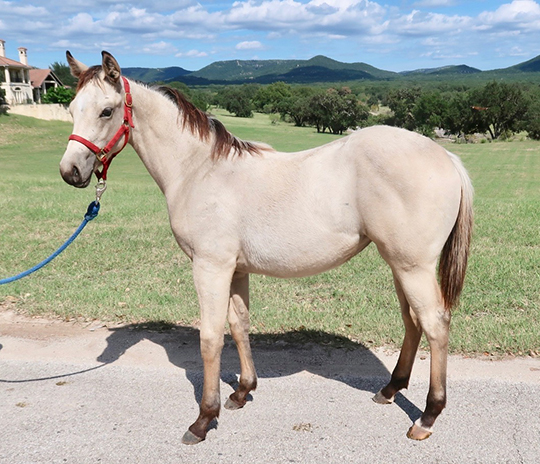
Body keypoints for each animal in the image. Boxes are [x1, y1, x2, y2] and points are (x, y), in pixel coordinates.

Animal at [58, 51, 472, 446]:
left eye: (106, 110)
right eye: (72, 108)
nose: (70, 172)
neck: (198, 170)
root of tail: (446, 157)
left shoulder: (210, 267)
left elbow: (210, 339)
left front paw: (203, 419)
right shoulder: (236, 269)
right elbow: (239, 326)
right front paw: (242, 392)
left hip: (413, 266)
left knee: (435, 324)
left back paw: (427, 417)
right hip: (399, 264)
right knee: (412, 322)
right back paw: (390, 389)